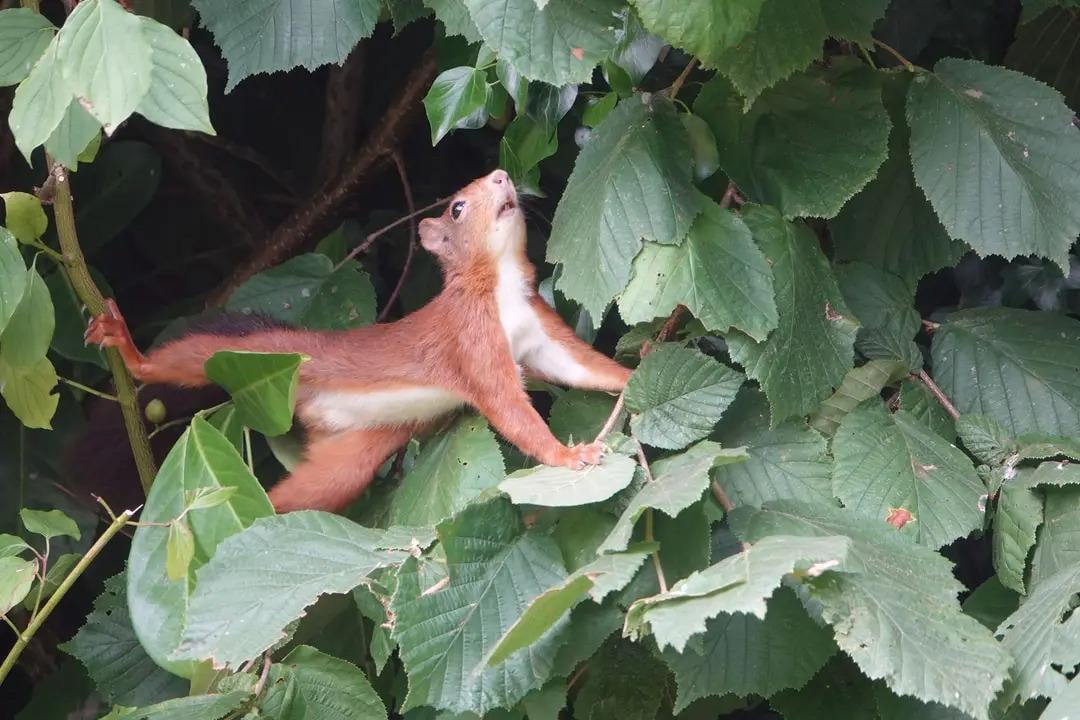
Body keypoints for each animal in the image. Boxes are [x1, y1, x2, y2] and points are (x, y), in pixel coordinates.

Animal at [83, 169, 632, 513]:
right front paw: (567, 456)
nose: (501, 176)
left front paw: (633, 372)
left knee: (299, 494)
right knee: (181, 360)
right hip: (252, 354)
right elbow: (508, 407)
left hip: (348, 461)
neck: (499, 283)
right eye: (457, 207)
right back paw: (126, 348)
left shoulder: (540, 334)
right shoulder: (470, 339)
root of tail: (309, 415)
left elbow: (577, 366)